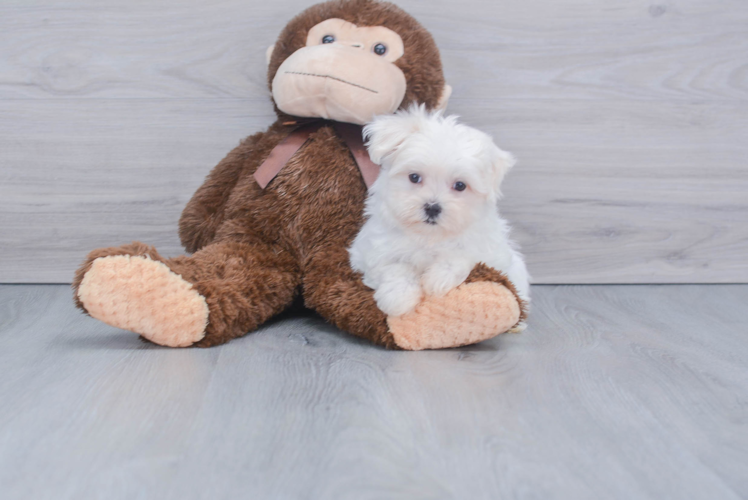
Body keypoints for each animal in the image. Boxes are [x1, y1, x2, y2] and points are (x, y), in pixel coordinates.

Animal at [348, 104, 528, 320]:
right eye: (414, 177)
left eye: (460, 185)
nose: (432, 207)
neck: (430, 236)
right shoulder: (372, 252)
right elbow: (395, 267)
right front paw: (398, 298)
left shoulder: (491, 253)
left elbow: (464, 254)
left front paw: (438, 279)